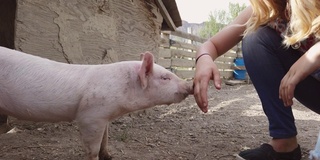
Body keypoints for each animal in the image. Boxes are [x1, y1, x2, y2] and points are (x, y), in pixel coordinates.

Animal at [0, 46, 192, 160]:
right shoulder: (90, 116)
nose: (189, 85)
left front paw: (110, 156)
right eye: (165, 77)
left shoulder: (104, 116)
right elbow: (93, 147)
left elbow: (105, 139)